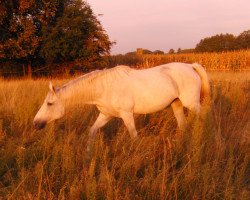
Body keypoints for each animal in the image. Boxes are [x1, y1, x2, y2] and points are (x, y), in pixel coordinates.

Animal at [33, 62, 209, 145]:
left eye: (49, 103)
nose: (36, 123)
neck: (104, 87)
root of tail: (191, 66)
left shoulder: (127, 114)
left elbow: (134, 136)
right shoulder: (106, 115)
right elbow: (92, 132)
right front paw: (88, 156)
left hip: (192, 104)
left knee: (202, 120)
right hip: (176, 104)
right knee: (183, 125)